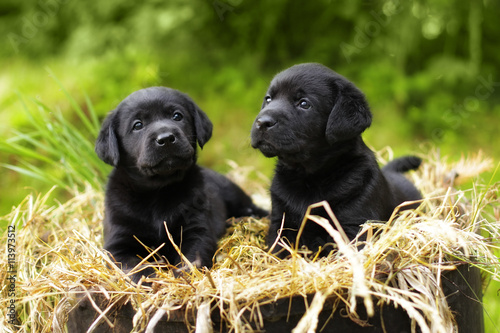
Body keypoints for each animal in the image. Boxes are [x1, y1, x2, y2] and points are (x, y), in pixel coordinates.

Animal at [94, 86, 266, 280]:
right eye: (138, 125)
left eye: (177, 116)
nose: (166, 138)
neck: (157, 191)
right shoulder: (118, 244)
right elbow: (134, 267)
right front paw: (150, 281)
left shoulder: (196, 230)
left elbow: (191, 258)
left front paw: (185, 278)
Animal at [250, 63, 422, 256]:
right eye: (268, 99)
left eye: (304, 103)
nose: (262, 122)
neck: (310, 176)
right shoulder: (280, 222)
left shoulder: (355, 225)